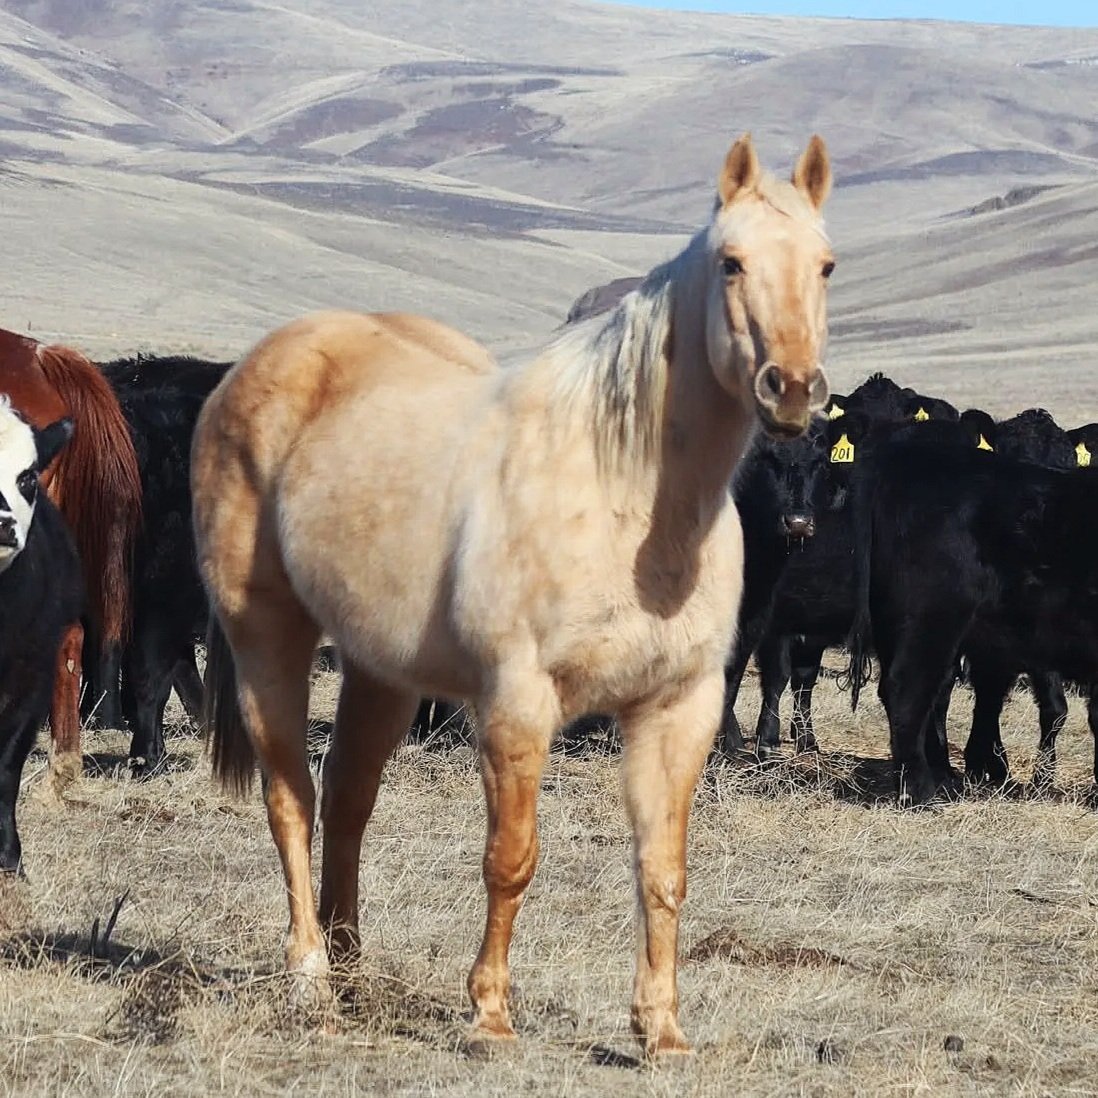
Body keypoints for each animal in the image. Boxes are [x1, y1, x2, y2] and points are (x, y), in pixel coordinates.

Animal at [193, 133, 835, 1056]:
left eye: (825, 264)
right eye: (732, 262)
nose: (793, 388)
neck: (627, 495)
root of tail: (257, 364)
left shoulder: (679, 707)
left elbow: (663, 867)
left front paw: (660, 1030)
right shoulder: (517, 704)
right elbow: (511, 858)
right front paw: (490, 1014)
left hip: (380, 669)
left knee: (348, 798)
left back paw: (352, 972)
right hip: (266, 640)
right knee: (293, 801)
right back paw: (312, 980)